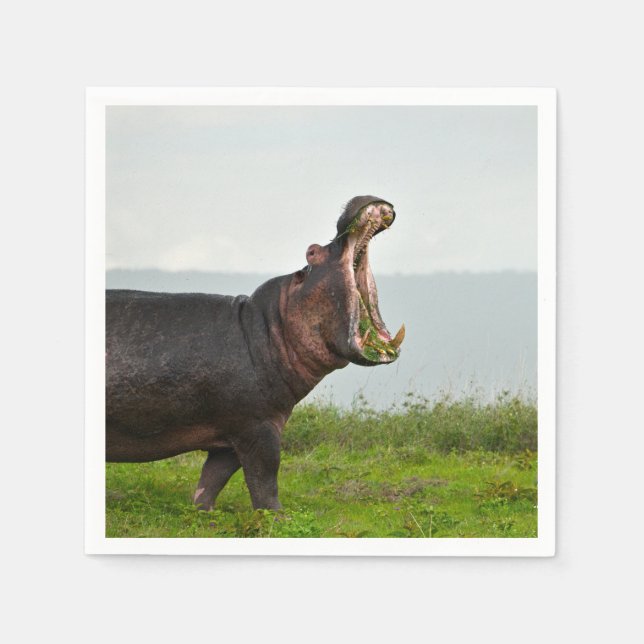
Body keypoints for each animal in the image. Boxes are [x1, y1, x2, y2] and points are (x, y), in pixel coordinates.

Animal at [106, 196, 405, 510]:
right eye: (312, 251)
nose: (356, 200)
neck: (274, 327)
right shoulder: (259, 427)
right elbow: (265, 478)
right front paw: (278, 515)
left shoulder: (230, 436)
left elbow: (212, 479)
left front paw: (203, 512)